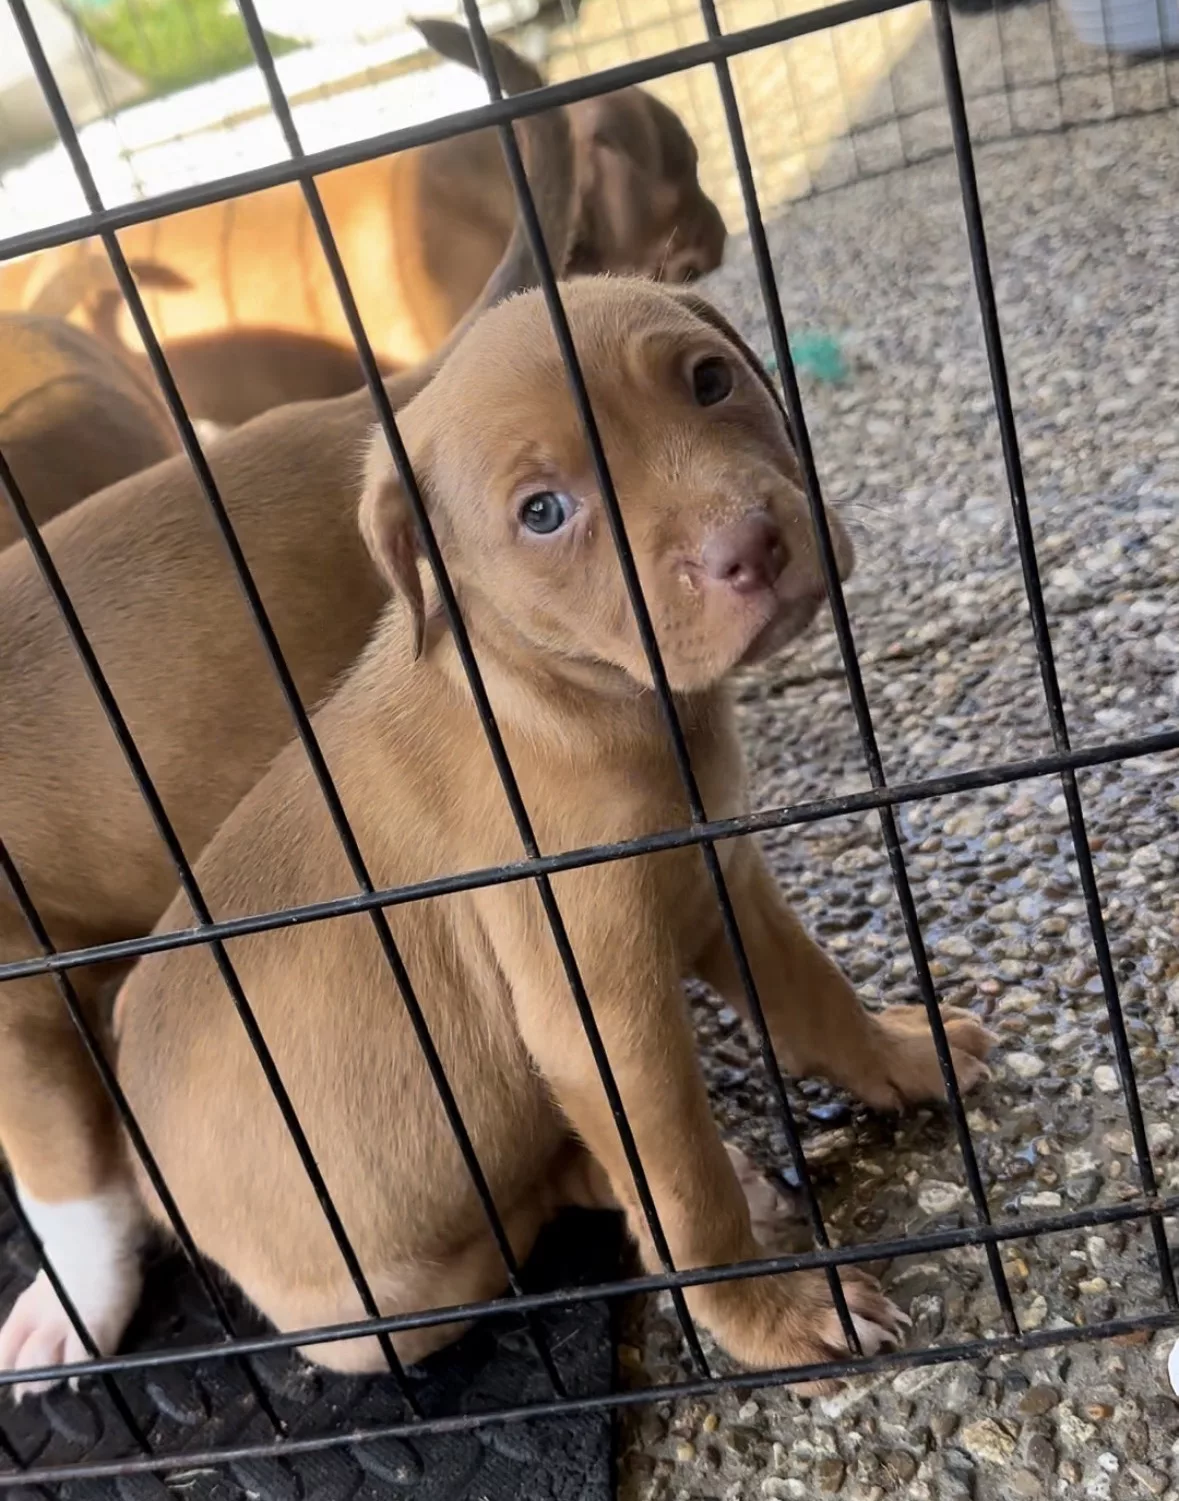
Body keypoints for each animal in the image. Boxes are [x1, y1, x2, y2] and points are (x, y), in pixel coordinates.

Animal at [105, 279, 994, 1393]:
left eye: (710, 380)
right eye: (542, 512)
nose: (750, 545)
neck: (579, 703)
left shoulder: (726, 878)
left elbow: (814, 997)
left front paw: (904, 1056)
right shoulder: (600, 1013)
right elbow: (683, 1186)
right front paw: (772, 1317)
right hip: (385, 1311)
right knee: (527, 1219)